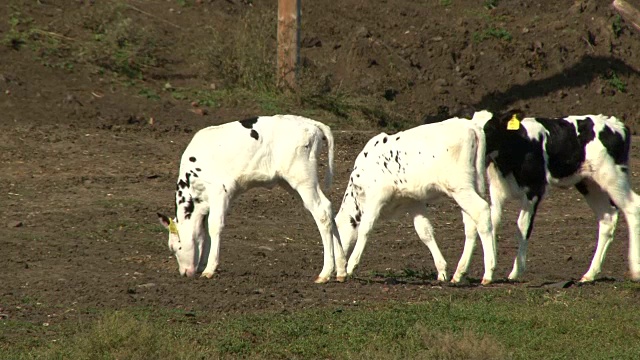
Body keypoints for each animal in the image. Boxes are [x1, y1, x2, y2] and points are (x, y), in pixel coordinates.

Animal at [158, 115, 348, 284]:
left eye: (174, 247)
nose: (184, 273)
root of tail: (309, 122)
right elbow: (204, 232)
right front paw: (203, 264)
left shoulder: (219, 190)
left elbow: (214, 226)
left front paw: (209, 269)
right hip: (291, 182)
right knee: (328, 208)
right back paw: (341, 270)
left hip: (302, 178)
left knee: (321, 213)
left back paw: (325, 273)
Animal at [338, 117, 498, 284]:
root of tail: (470, 125)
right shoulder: (413, 201)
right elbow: (424, 232)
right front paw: (441, 271)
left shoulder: (377, 196)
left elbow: (365, 228)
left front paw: (350, 266)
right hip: (470, 187)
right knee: (471, 224)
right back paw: (459, 273)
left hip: (460, 187)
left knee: (482, 211)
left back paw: (488, 272)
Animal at [460, 109, 640, 282]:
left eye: (489, 128)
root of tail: (617, 123)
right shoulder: (497, 191)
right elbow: (493, 221)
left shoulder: (534, 190)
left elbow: (522, 226)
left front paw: (516, 271)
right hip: (589, 183)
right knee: (607, 218)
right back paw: (589, 274)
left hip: (613, 176)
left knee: (633, 207)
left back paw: (635, 269)